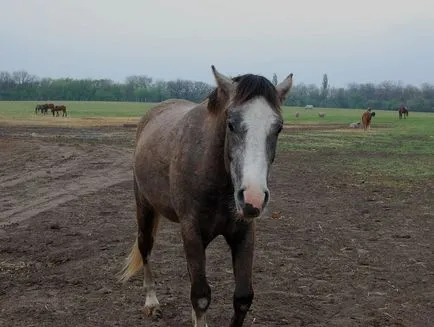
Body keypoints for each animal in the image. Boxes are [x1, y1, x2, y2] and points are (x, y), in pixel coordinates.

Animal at [119, 65, 294, 326]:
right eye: (231, 124)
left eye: (278, 127)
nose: (252, 198)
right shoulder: (191, 229)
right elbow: (201, 296)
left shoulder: (243, 233)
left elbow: (242, 298)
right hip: (145, 207)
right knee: (145, 247)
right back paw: (151, 302)